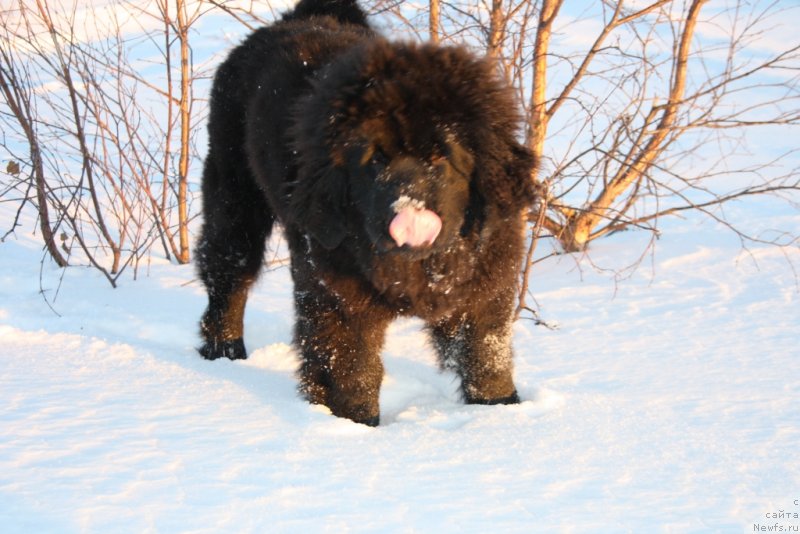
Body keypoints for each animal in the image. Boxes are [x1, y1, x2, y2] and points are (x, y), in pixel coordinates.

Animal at [195, 0, 536, 428]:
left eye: (441, 158)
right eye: (375, 160)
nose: (406, 207)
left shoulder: (485, 288)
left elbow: (486, 357)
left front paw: (501, 413)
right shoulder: (337, 299)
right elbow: (354, 369)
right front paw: (355, 426)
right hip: (235, 198)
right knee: (228, 273)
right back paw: (224, 350)